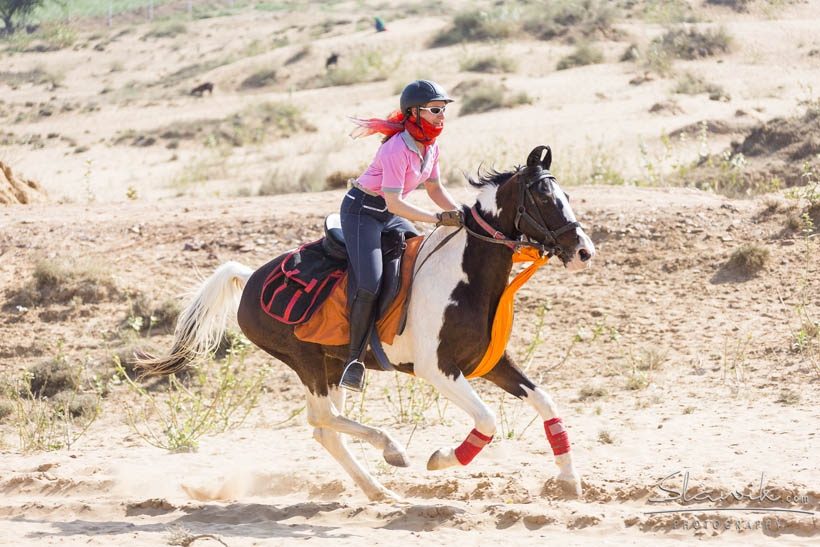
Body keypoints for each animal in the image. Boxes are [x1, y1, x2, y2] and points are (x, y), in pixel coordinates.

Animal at [135, 144, 596, 500]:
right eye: (545, 198)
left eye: (565, 195)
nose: (584, 251)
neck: (464, 276)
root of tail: (250, 279)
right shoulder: (438, 370)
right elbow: (486, 420)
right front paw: (442, 459)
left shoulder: (491, 362)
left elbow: (546, 403)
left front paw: (570, 482)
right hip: (306, 362)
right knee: (321, 419)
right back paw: (391, 449)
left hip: (333, 364)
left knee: (325, 430)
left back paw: (378, 490)